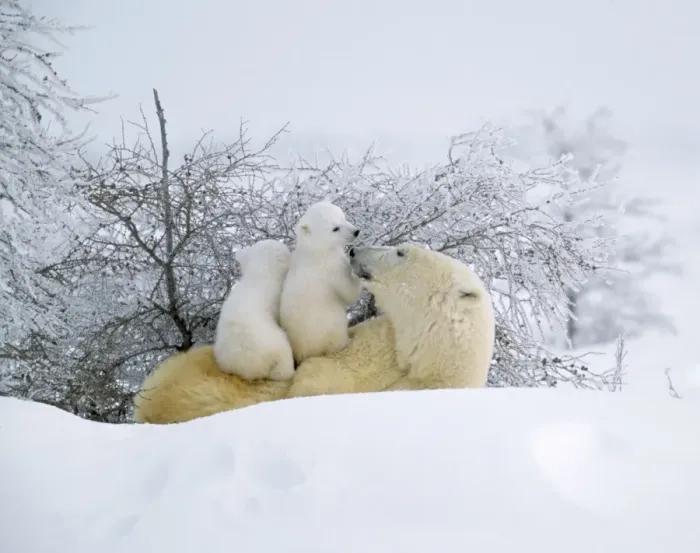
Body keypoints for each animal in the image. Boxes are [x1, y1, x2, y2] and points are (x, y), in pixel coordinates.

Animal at [279, 201, 362, 364]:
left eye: (343, 217)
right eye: (335, 228)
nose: (356, 231)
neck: (315, 249)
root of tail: (301, 354)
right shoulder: (330, 267)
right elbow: (348, 292)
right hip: (329, 329)